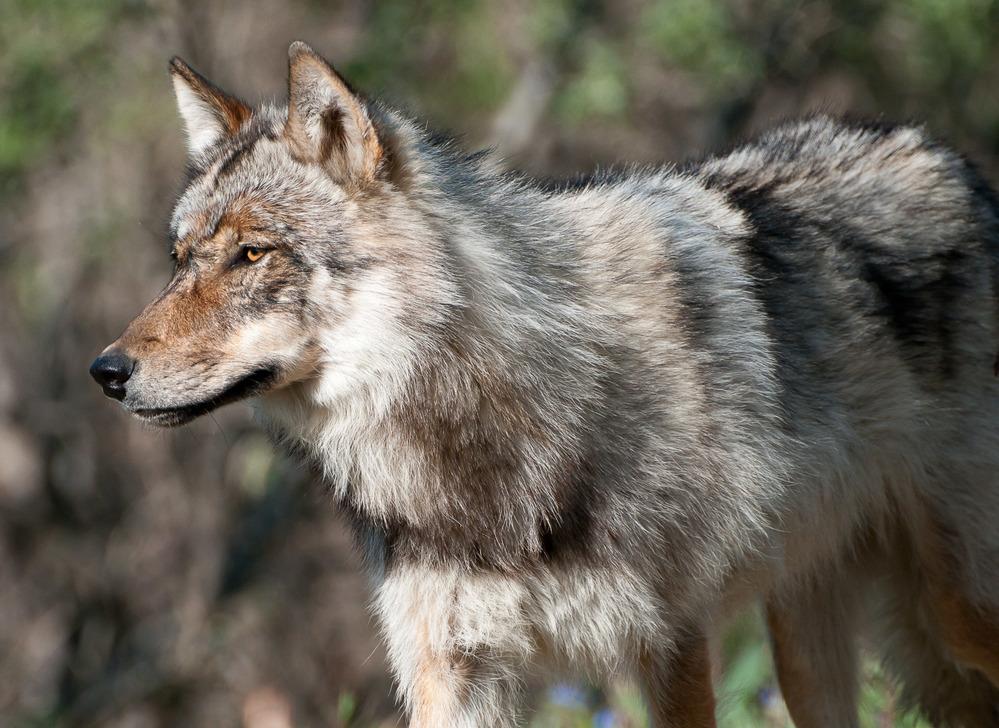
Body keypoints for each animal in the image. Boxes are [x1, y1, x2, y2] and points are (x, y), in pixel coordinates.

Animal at [90, 44, 996, 728]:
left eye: (252, 254)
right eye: (179, 260)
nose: (107, 372)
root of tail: (954, 161)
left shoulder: (668, 644)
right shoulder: (450, 669)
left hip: (955, 616)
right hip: (810, 644)